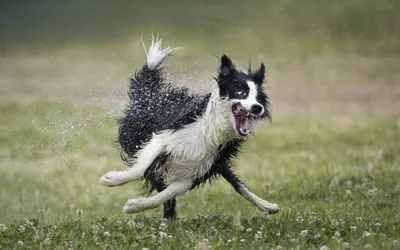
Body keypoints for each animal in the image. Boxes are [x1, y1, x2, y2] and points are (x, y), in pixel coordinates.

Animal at [100, 36, 280, 219]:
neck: (213, 129)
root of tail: (149, 95)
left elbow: (167, 193)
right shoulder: (164, 137)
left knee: (237, 184)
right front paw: (112, 179)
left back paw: (268, 206)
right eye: (241, 92)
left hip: (215, 163)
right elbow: (140, 167)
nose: (258, 107)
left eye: (259, 98)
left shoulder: (196, 170)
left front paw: (134, 206)